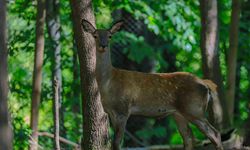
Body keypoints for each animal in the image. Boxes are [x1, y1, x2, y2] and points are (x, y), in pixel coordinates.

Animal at [81, 19, 224, 150]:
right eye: (95, 35)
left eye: (110, 35)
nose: (103, 45)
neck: (108, 83)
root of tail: (205, 83)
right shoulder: (110, 112)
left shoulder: (123, 109)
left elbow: (116, 143)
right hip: (179, 113)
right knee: (188, 138)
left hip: (194, 108)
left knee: (215, 133)